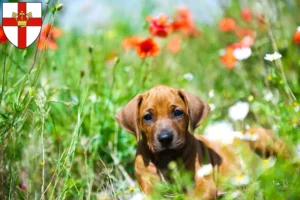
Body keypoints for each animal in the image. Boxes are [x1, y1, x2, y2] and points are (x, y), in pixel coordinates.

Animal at [115, 85, 288, 199]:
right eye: (147, 117)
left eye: (177, 113)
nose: (165, 138)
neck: (166, 159)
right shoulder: (150, 188)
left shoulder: (204, 185)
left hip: (260, 138)